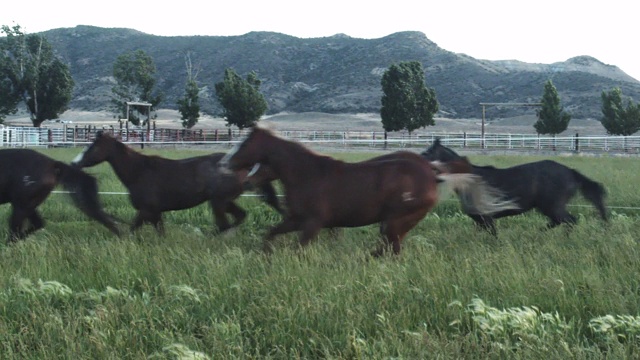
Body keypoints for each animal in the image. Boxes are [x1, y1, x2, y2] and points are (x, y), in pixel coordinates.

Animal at [69, 131, 280, 235]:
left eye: (93, 147)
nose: (74, 163)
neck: (139, 172)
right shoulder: (155, 214)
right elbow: (159, 233)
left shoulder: (147, 211)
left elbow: (132, 229)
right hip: (225, 201)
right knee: (238, 217)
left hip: (219, 202)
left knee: (225, 225)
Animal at [220, 126, 520, 256]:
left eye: (244, 144)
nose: (225, 163)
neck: (308, 175)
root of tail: (432, 173)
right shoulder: (296, 220)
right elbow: (270, 235)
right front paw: (265, 256)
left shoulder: (313, 224)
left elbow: (299, 249)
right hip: (394, 225)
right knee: (389, 249)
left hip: (397, 222)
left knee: (391, 250)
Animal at [422, 136, 608, 235]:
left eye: (427, 153)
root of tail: (570, 172)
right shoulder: (479, 220)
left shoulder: (487, 218)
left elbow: (494, 236)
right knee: (558, 222)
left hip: (553, 206)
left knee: (570, 221)